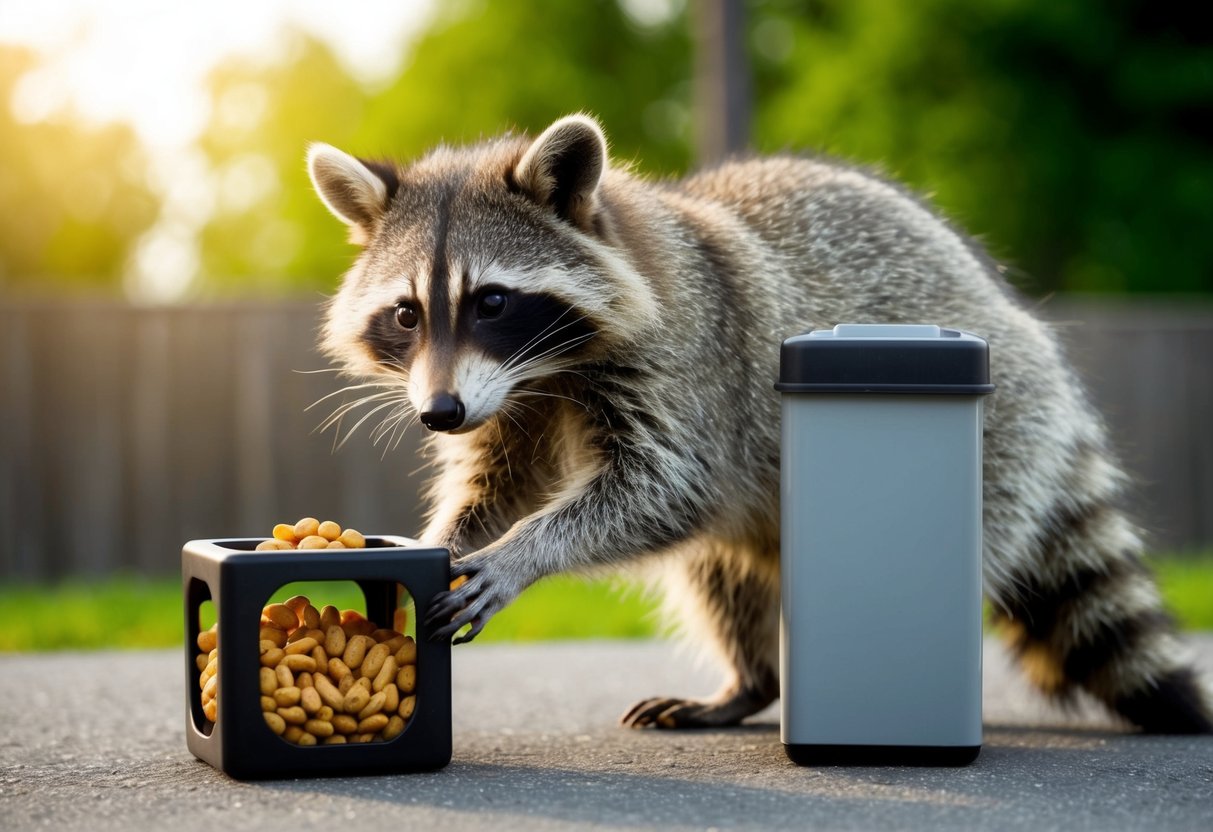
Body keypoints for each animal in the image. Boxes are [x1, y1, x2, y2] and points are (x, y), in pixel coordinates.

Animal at [307, 114, 1212, 733]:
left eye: (491, 301)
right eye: (406, 314)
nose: (439, 413)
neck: (543, 370)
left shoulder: (692, 369)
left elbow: (662, 489)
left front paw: (524, 552)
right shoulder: (508, 401)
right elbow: (499, 480)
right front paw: (447, 538)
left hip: (1003, 440)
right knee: (721, 576)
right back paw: (749, 683)